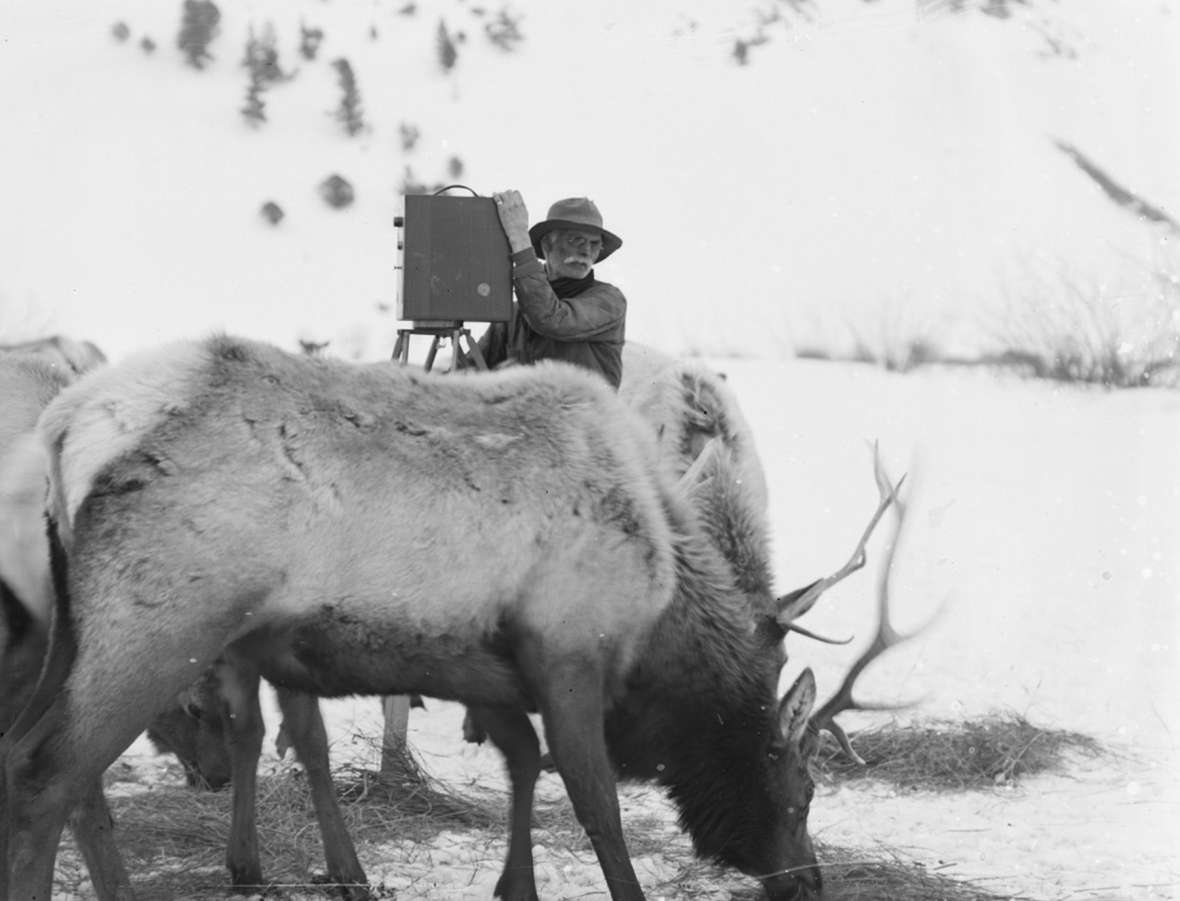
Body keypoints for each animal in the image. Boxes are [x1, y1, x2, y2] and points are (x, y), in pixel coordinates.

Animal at [2, 337, 910, 901]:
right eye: (801, 790)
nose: (808, 879)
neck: (659, 628)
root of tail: (63, 427)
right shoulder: (570, 654)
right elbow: (596, 806)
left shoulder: (490, 667)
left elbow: (522, 767)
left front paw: (515, 884)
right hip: (161, 626)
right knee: (48, 775)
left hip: (71, 635)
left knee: (40, 762)